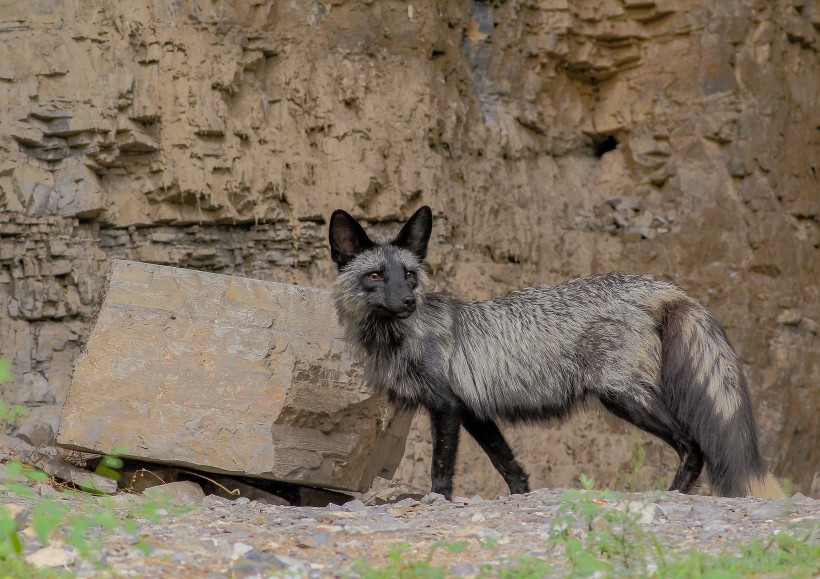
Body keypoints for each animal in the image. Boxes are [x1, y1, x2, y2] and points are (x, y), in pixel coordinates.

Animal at [326, 206, 780, 500]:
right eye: (375, 275)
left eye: (409, 275)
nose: (407, 301)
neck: (402, 338)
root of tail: (656, 285)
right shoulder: (473, 411)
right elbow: (508, 464)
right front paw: (521, 498)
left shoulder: (446, 407)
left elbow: (441, 469)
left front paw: (438, 502)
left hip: (623, 396)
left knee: (693, 445)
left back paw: (672, 495)